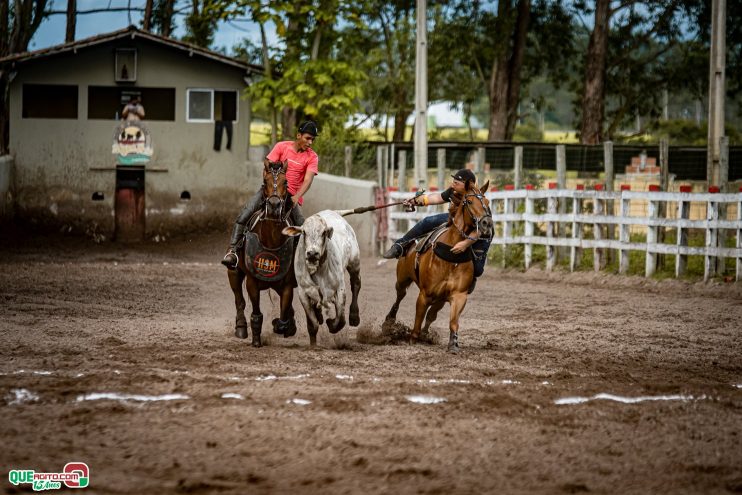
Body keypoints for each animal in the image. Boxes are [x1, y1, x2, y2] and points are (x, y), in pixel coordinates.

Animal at [228, 161, 298, 346]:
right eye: (265, 181)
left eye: (285, 182)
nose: (274, 205)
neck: (271, 239)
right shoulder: (252, 281)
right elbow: (256, 313)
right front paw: (256, 341)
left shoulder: (287, 283)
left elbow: (284, 312)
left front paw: (283, 326)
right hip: (234, 272)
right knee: (239, 300)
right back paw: (241, 327)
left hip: (277, 284)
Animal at [284, 209, 362, 344]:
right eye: (304, 232)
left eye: (323, 232)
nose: (312, 254)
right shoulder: (303, 292)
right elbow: (313, 324)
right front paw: (313, 344)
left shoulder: (339, 288)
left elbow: (340, 319)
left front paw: (331, 324)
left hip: (354, 262)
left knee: (356, 284)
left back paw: (354, 316)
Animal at [386, 180, 496, 354]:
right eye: (469, 201)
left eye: (486, 202)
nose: (487, 224)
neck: (450, 258)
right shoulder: (425, 294)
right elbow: (418, 319)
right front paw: (412, 339)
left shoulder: (459, 295)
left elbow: (453, 322)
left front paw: (453, 344)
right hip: (403, 279)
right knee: (400, 296)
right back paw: (389, 321)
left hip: (441, 298)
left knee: (432, 314)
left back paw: (426, 335)